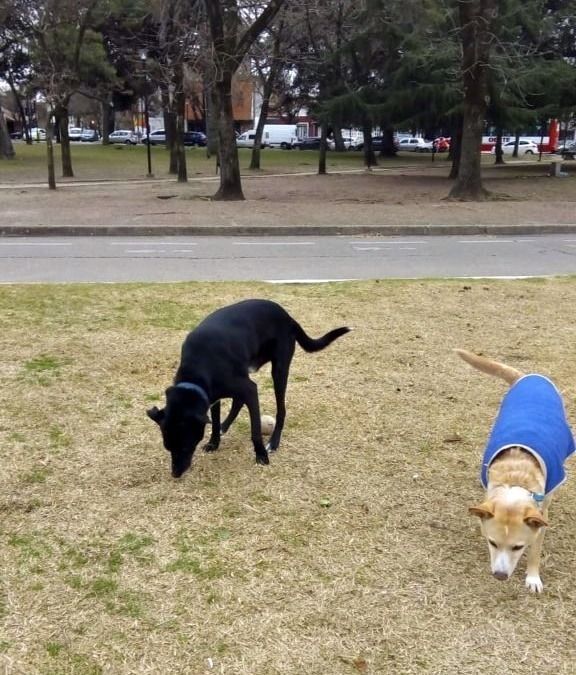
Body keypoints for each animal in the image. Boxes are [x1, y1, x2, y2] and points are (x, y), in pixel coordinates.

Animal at [146, 298, 348, 478]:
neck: (197, 369)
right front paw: (214, 442)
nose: (175, 474)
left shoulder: (250, 389)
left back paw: (273, 443)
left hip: (279, 370)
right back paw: (225, 427)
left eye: (185, 446)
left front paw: (261, 455)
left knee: (280, 409)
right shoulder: (214, 397)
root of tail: (287, 316)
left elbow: (255, 430)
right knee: (237, 402)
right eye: (167, 447)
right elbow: (215, 421)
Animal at [456, 352, 572, 596]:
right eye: (492, 542)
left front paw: (533, 577)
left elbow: (535, 550)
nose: (500, 576)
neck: (515, 479)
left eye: (518, 547)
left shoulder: (540, 517)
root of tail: (529, 376)